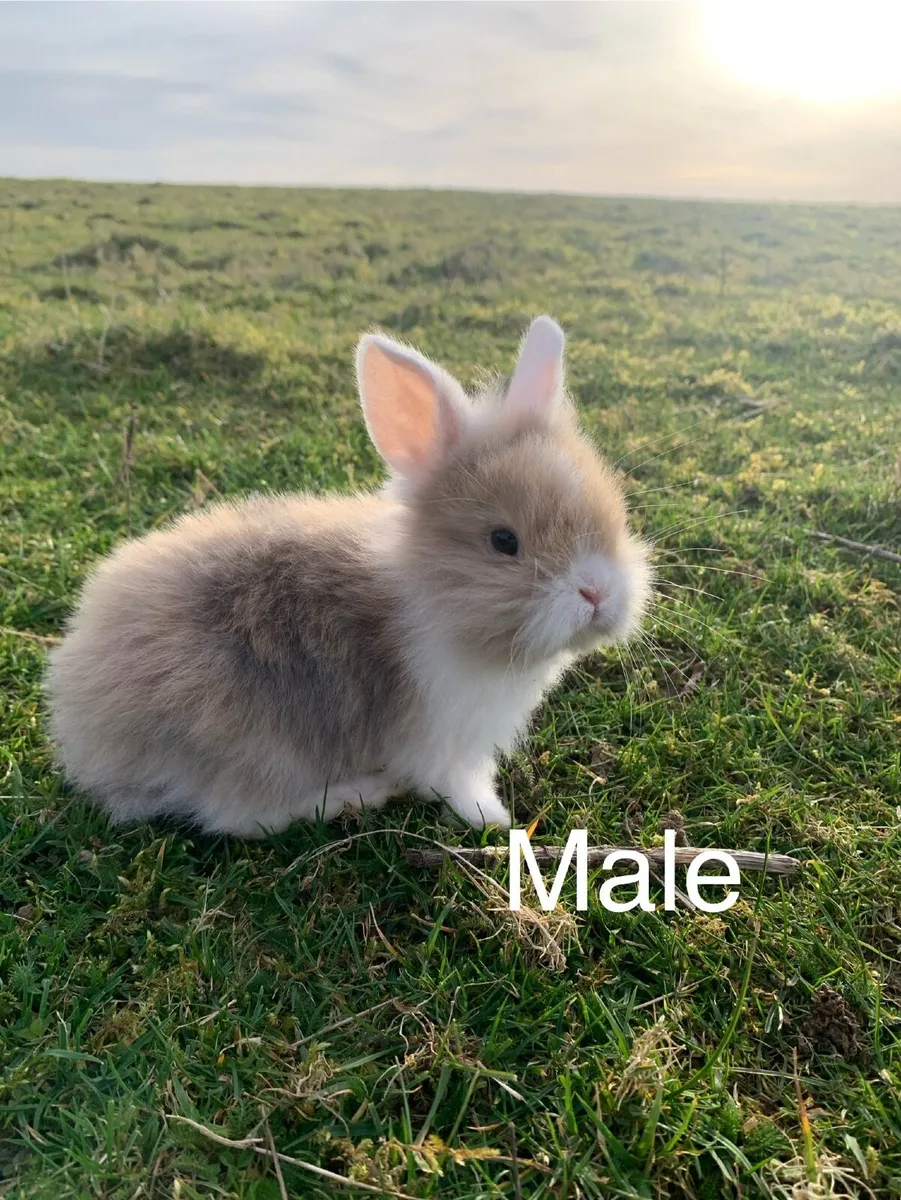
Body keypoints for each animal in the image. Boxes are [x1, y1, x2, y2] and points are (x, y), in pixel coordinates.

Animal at [44, 316, 652, 836]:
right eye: (504, 541)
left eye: (615, 514)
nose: (598, 592)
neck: (433, 598)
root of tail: (86, 729)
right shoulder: (440, 736)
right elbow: (453, 783)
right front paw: (493, 819)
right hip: (252, 744)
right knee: (243, 816)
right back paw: (360, 793)